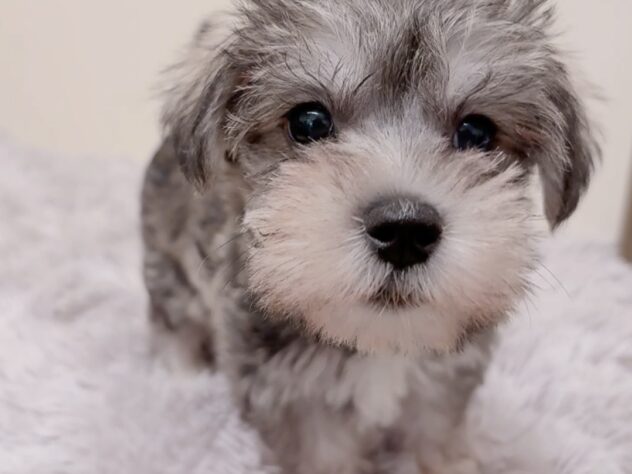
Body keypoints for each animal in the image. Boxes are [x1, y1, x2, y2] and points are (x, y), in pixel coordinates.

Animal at [141, 1, 598, 472]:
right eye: (309, 123)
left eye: (477, 132)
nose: (404, 231)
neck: (376, 342)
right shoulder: (292, 395)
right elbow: (319, 455)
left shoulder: (443, 382)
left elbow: (435, 433)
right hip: (168, 263)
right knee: (171, 314)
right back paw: (180, 372)